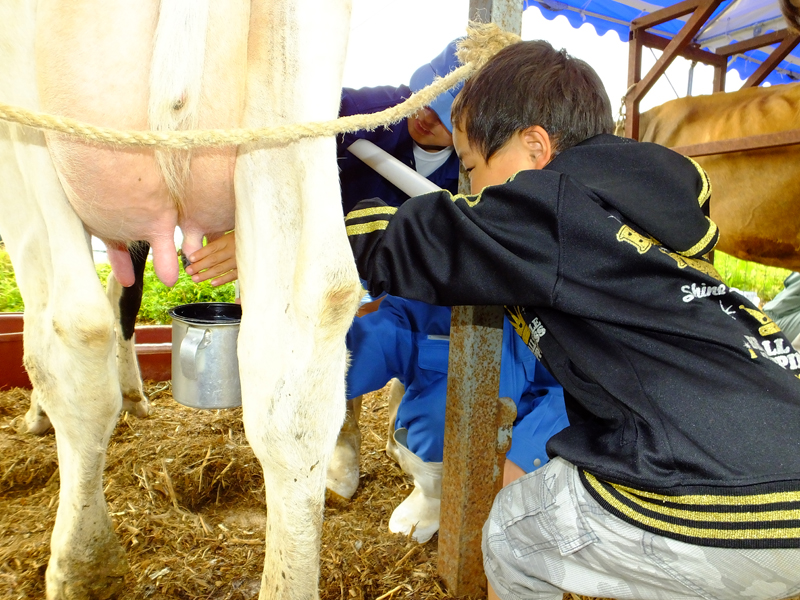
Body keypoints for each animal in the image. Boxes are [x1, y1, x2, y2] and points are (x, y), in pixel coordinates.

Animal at [0, 1, 360, 600]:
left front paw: (38, 414)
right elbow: (127, 289)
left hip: (28, 135)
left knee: (76, 330)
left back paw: (83, 564)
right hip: (289, 108)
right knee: (307, 329)